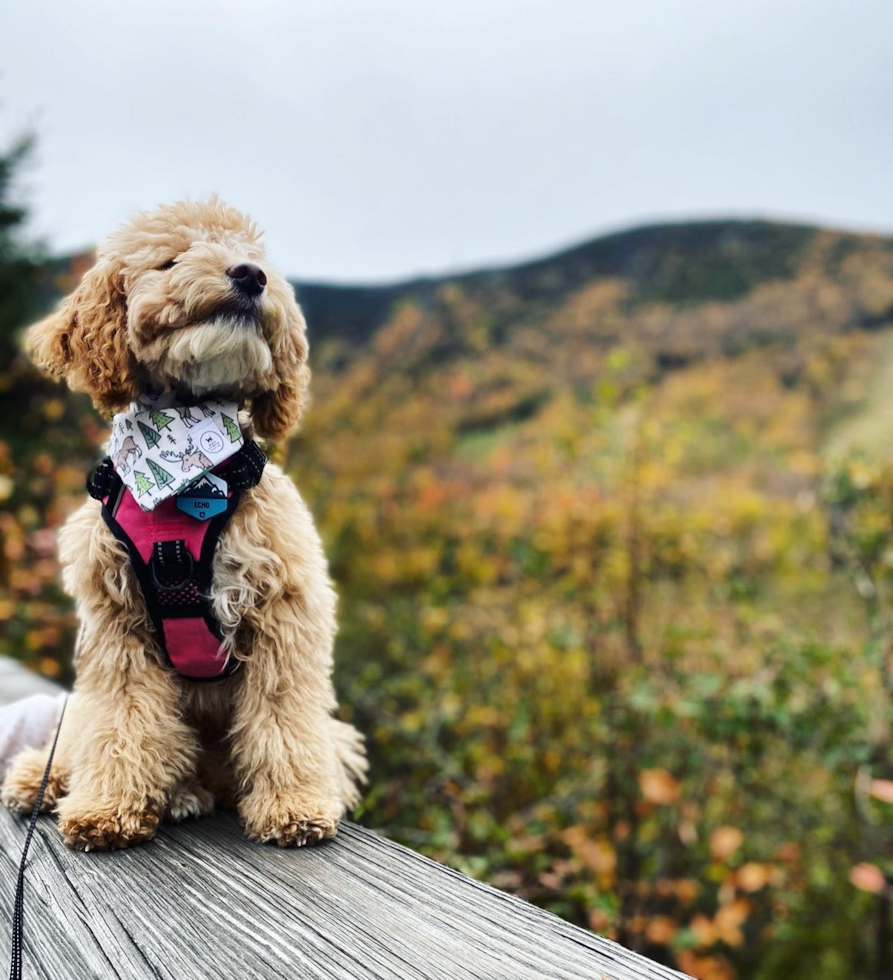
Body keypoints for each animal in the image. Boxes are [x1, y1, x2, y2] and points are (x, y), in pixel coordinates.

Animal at [0, 195, 366, 848]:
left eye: (252, 254)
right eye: (171, 260)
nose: (251, 275)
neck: (184, 472)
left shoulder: (284, 612)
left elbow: (283, 714)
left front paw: (293, 805)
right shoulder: (118, 629)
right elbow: (121, 719)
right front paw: (106, 806)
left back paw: (185, 795)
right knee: (85, 732)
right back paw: (44, 777)